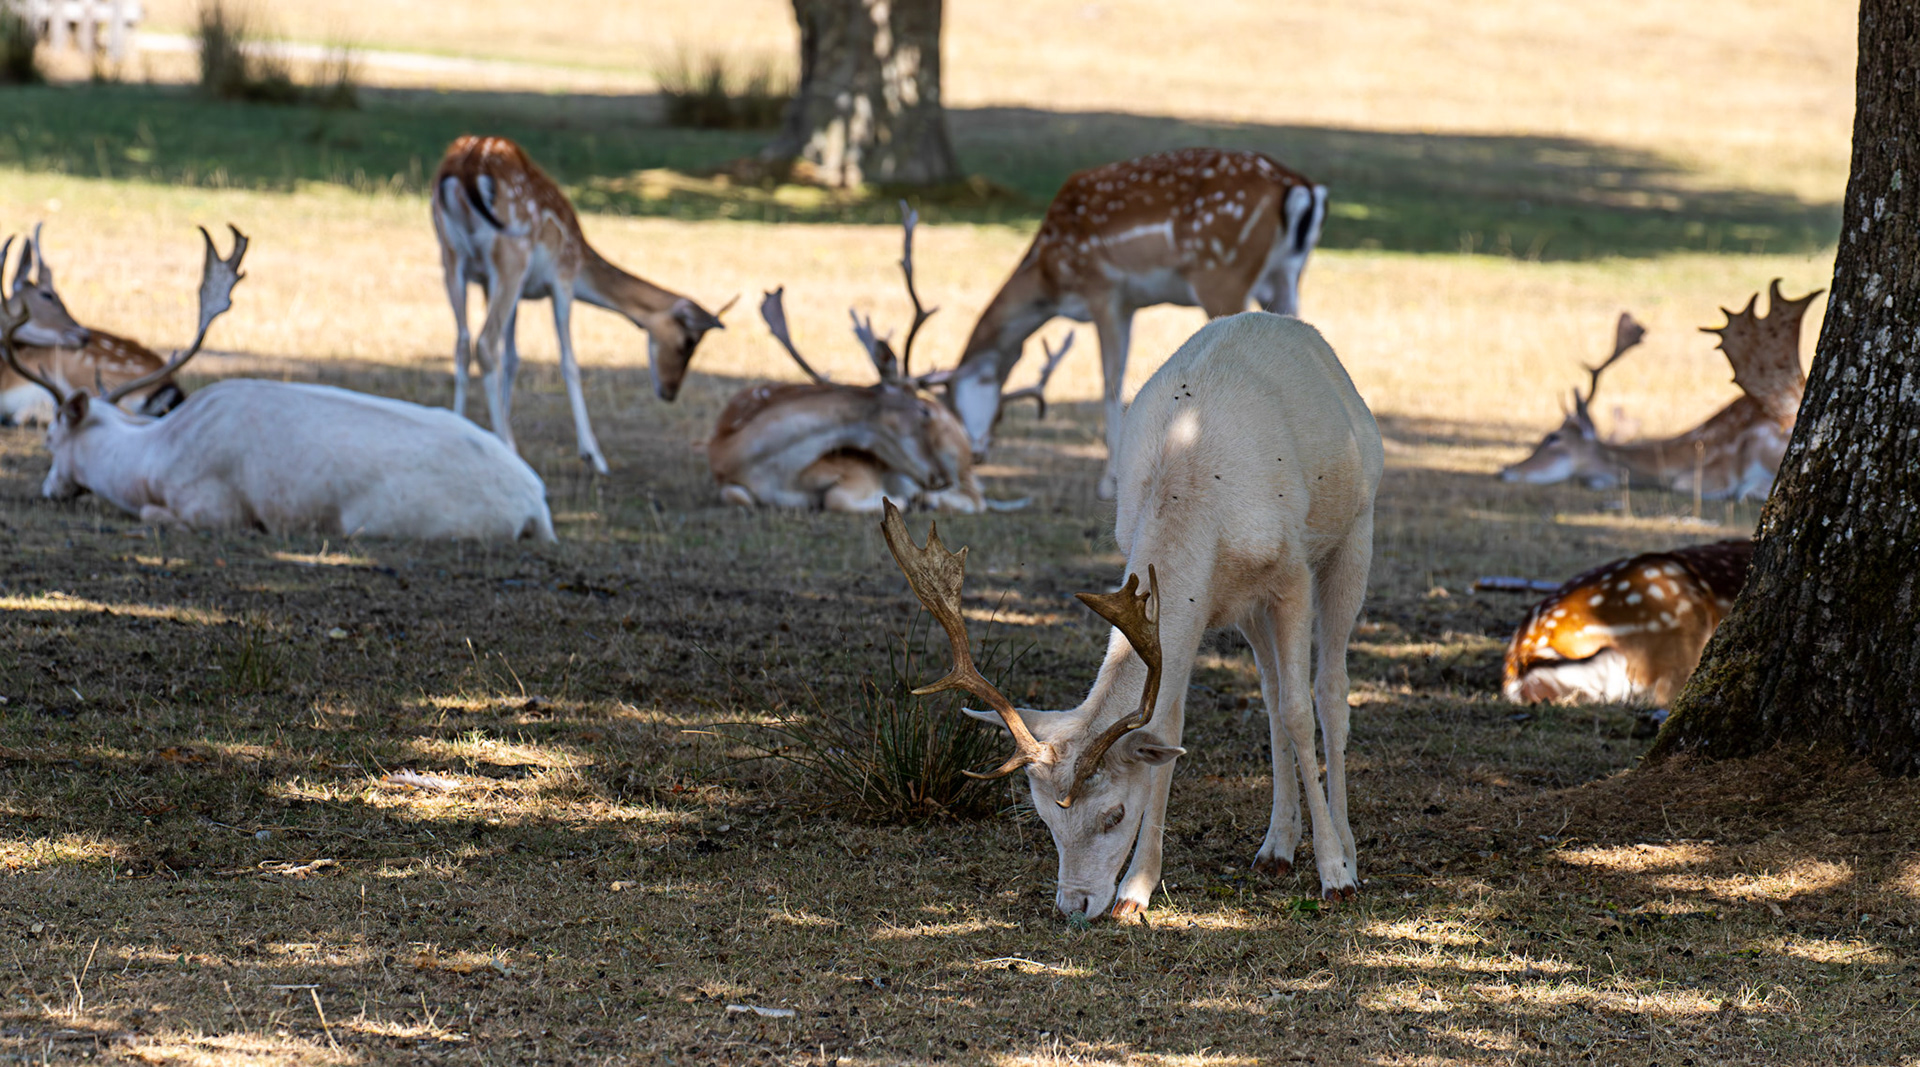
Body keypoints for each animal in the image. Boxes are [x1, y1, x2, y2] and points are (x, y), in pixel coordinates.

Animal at [432, 135, 735, 474]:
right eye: (688, 342)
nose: (669, 393)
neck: (582, 266)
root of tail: (466, 166)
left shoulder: (495, 286)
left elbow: (511, 357)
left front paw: (498, 439)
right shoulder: (562, 279)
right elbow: (569, 362)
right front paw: (594, 455)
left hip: (450, 256)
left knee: (463, 342)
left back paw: (458, 429)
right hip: (513, 253)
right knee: (484, 343)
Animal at [711, 207, 1061, 513]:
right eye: (922, 411)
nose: (936, 477)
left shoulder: (855, 473)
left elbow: (835, 498)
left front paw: (904, 500)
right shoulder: (728, 483)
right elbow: (736, 495)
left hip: (958, 459)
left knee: (976, 498)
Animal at [884, 312, 1382, 918]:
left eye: (1113, 814)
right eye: (1045, 818)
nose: (1073, 905)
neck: (1199, 493)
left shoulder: (1290, 575)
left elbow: (1298, 711)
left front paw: (1335, 874)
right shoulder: (1190, 607)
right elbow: (1170, 729)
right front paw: (1136, 890)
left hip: (1355, 530)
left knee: (1328, 690)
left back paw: (1347, 850)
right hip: (1247, 608)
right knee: (1267, 692)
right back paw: (1276, 848)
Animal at [940, 147, 1329, 498]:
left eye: (951, 406)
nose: (975, 456)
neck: (1050, 275)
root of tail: (1301, 187)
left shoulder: (1104, 291)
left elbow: (1111, 381)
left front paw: (1108, 483)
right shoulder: (1129, 303)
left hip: (1222, 274)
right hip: (1286, 275)